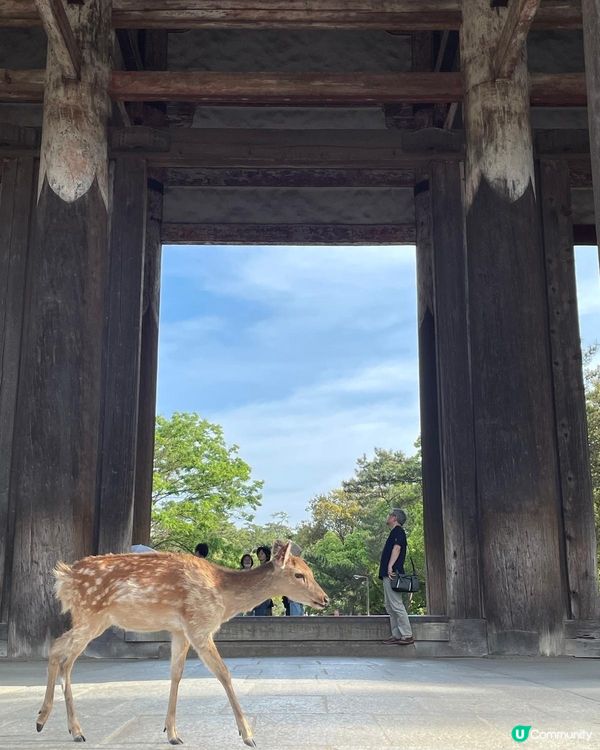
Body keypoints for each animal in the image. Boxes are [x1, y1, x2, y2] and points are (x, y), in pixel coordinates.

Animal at [36, 540, 329, 746]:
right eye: (299, 574)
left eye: (310, 571)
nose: (325, 599)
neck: (224, 597)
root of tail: (65, 577)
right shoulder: (199, 624)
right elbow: (224, 673)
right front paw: (248, 735)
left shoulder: (180, 630)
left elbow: (176, 673)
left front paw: (172, 733)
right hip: (90, 615)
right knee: (62, 654)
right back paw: (63, 726)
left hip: (92, 619)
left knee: (61, 654)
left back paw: (55, 723)